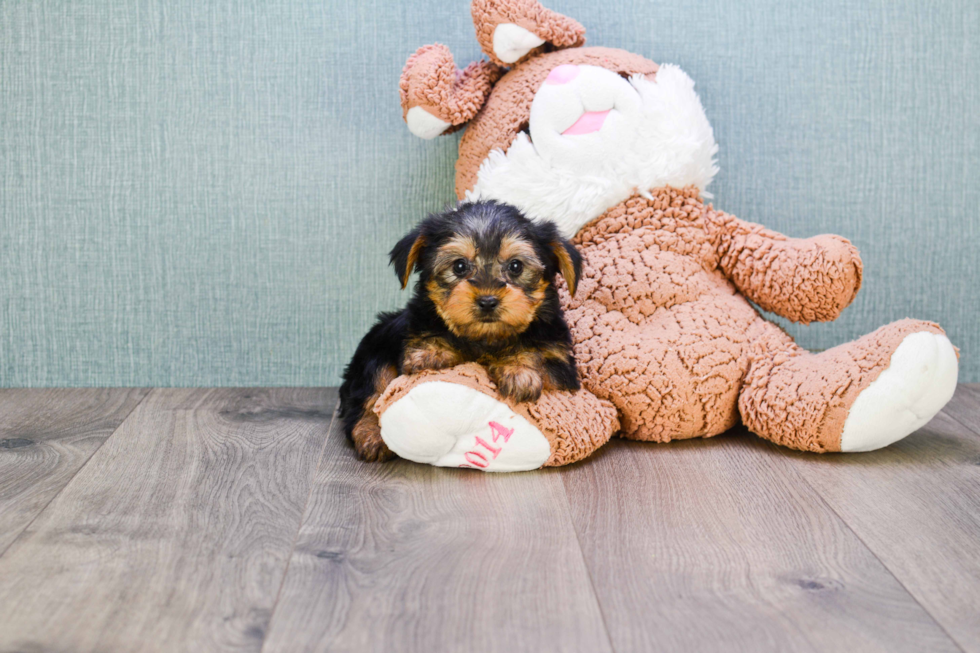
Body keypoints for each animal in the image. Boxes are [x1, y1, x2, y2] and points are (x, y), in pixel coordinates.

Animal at [338, 201, 580, 460]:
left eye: (516, 266)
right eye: (459, 266)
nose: (487, 301)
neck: (486, 338)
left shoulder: (562, 366)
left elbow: (537, 357)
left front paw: (518, 369)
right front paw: (433, 352)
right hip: (375, 347)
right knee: (371, 391)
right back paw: (372, 433)